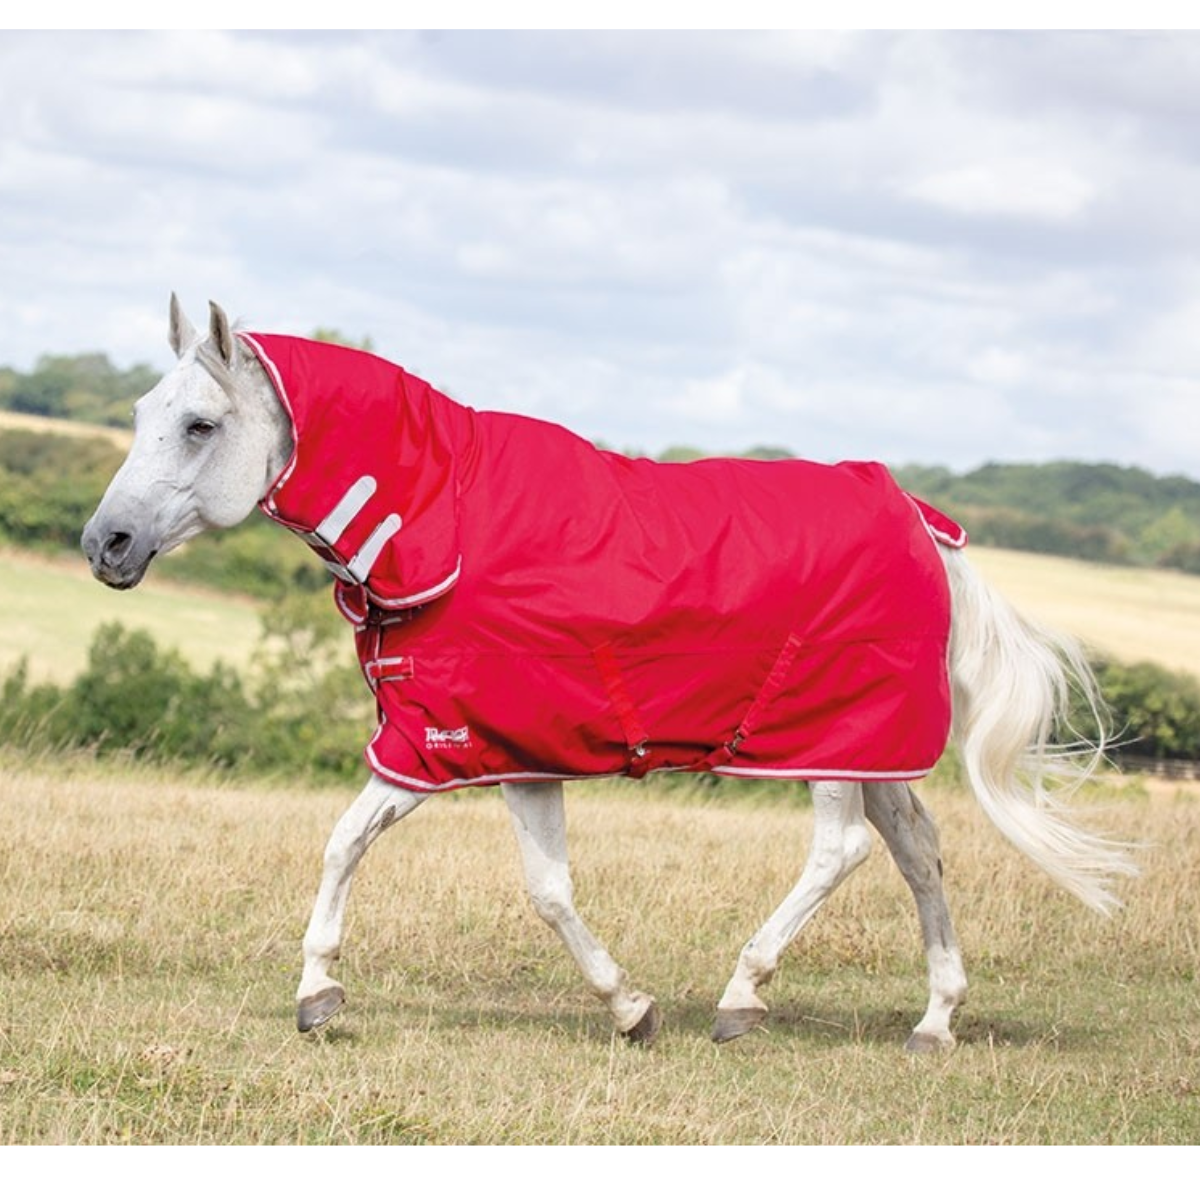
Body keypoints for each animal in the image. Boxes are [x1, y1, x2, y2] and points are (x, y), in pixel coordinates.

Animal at [82, 300, 1132, 1051]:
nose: (105, 545)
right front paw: (321, 994)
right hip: (873, 748)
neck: (443, 516)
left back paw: (743, 997)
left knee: (843, 854)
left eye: (200, 424)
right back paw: (934, 1022)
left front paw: (631, 1008)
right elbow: (396, 855)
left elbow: (491, 878)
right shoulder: (476, 747)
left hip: (828, 742)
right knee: (919, 851)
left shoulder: (468, 746)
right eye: (137, 414)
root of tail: (923, 520)